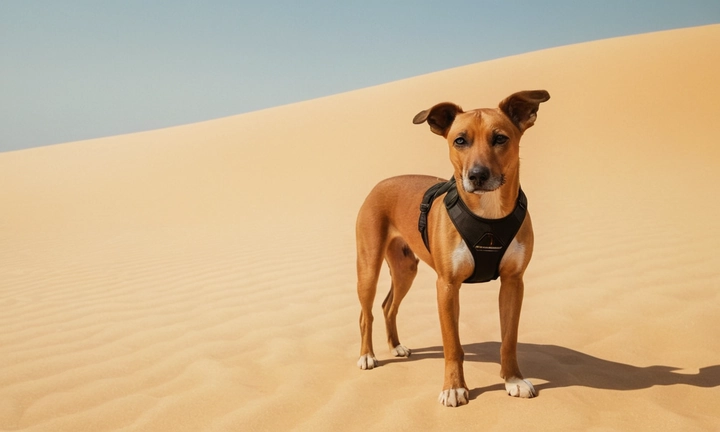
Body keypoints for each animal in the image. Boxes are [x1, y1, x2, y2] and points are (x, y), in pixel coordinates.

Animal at [356, 90, 552, 404]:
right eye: (460, 140)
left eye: (500, 138)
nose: (477, 175)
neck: (488, 215)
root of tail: (380, 184)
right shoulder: (447, 286)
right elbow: (452, 346)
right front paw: (454, 387)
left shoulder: (513, 282)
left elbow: (509, 340)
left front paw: (513, 379)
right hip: (368, 267)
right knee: (367, 313)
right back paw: (367, 356)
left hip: (405, 269)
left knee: (388, 306)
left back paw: (396, 346)